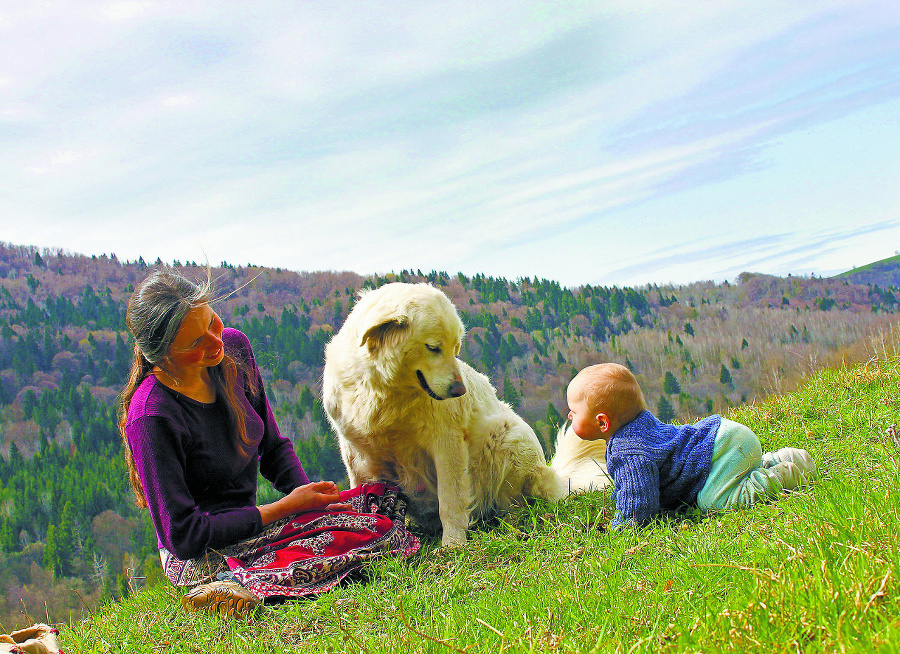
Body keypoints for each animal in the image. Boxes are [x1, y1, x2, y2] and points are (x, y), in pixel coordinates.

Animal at [320, 284, 608, 544]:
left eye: (456, 348)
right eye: (433, 347)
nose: (459, 391)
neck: (387, 390)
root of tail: (554, 477)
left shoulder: (446, 443)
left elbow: (451, 498)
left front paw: (453, 544)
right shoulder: (354, 451)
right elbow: (359, 490)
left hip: (505, 435)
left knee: (516, 500)